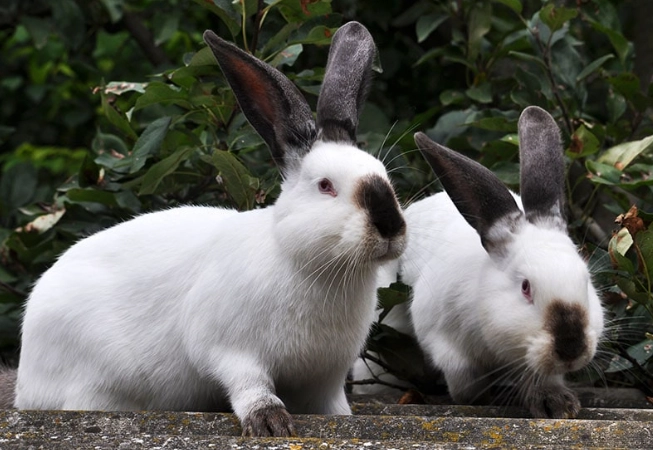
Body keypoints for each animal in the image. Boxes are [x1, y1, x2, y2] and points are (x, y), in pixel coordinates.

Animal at [14, 21, 406, 437]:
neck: (316, 267)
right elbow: (249, 385)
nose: (390, 226)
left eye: (385, 176)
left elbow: (333, 407)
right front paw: (270, 423)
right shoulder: (228, 348)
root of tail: (25, 381)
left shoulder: (325, 377)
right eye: (326, 186)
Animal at [398, 106, 604, 418]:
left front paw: (556, 404)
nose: (572, 347)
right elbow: (464, 383)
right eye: (525, 287)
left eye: (586, 281)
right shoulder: (445, 343)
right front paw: (481, 398)